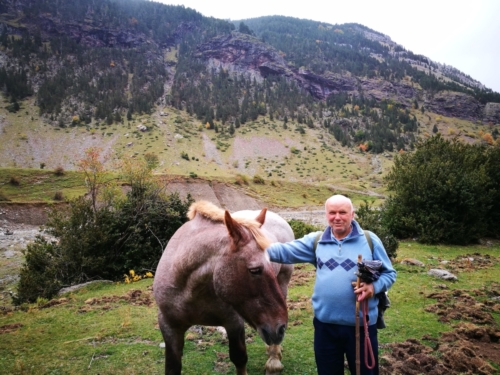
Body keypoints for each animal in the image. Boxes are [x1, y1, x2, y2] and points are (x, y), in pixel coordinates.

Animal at [152, 203, 292, 375]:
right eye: (254, 270)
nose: (280, 328)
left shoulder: (234, 323)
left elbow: (239, 358)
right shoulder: (169, 327)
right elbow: (172, 367)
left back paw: (273, 361)